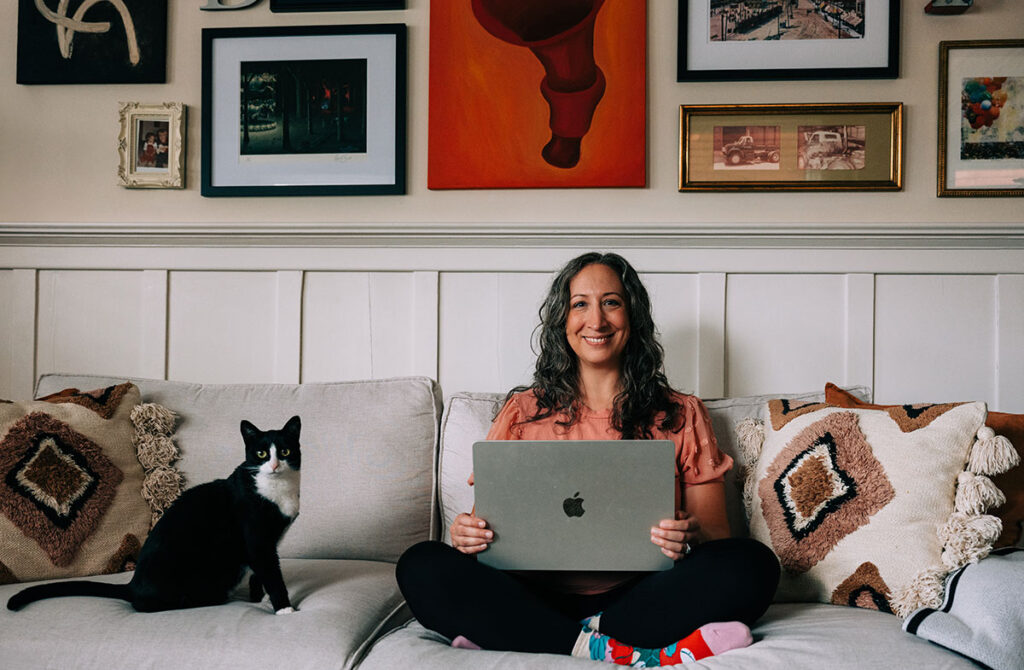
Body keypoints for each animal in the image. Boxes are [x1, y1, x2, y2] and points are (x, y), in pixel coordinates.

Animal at [7, 416, 302, 614]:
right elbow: (270, 573)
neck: (278, 491)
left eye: (285, 451)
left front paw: (260, 599)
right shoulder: (257, 540)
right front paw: (283, 608)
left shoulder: (266, 544)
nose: (274, 465)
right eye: (261, 453)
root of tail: (132, 584)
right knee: (147, 605)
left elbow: (259, 574)